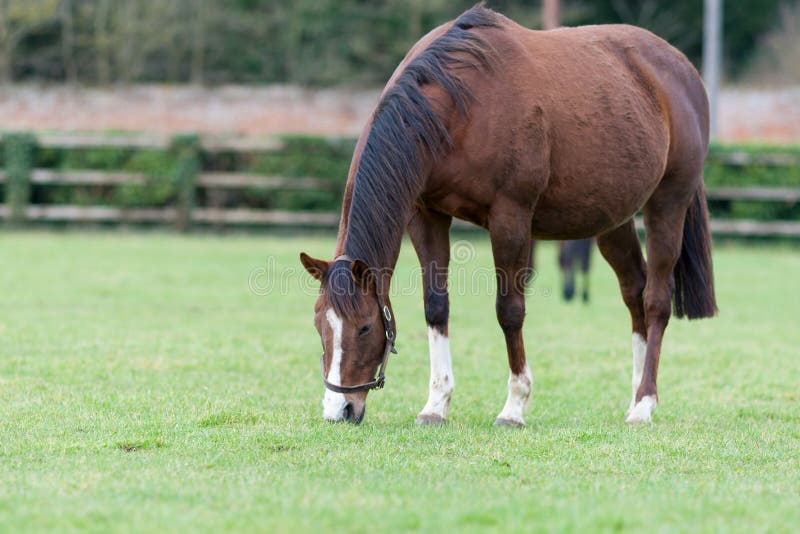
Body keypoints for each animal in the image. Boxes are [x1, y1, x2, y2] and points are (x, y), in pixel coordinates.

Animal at [300, 5, 720, 428]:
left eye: (365, 327)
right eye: (318, 324)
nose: (339, 410)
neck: (457, 107)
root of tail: (682, 69)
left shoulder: (511, 218)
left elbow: (510, 311)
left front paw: (515, 405)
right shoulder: (425, 215)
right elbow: (436, 305)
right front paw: (436, 404)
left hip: (667, 204)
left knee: (655, 300)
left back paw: (645, 403)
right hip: (612, 221)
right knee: (634, 293)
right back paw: (634, 397)